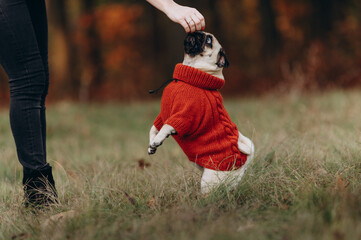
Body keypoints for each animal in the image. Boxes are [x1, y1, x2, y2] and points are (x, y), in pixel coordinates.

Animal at [148, 31, 255, 194]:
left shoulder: (184, 116)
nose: (195, 32)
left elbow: (166, 127)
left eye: (209, 40)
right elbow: (154, 128)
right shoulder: (163, 115)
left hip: (209, 182)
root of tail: (244, 162)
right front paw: (152, 144)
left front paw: (158, 139)